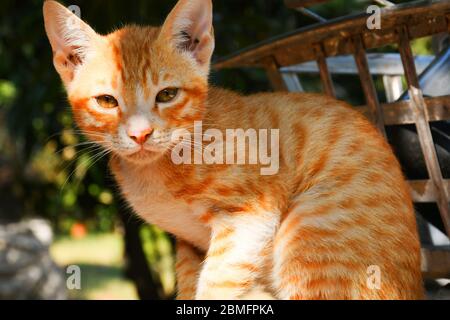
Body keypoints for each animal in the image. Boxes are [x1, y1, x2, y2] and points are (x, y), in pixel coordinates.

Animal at [42, 0, 422, 300]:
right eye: (107, 101)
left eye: (167, 95)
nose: (140, 134)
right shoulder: (189, 246)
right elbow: (189, 287)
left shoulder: (250, 215)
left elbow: (215, 287)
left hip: (311, 236)